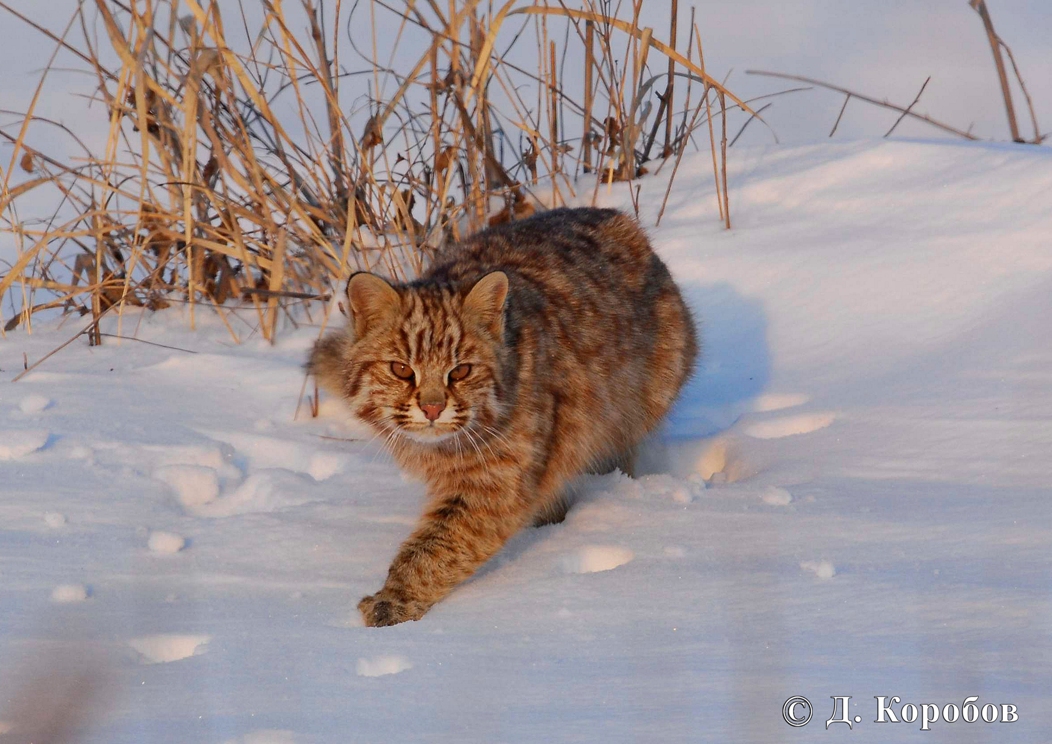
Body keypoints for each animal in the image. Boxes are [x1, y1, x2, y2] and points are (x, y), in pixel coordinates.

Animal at [307, 206, 698, 627]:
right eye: (401, 370)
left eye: (461, 371)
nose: (432, 408)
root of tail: (619, 218)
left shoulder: (497, 482)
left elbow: (437, 546)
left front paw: (393, 602)